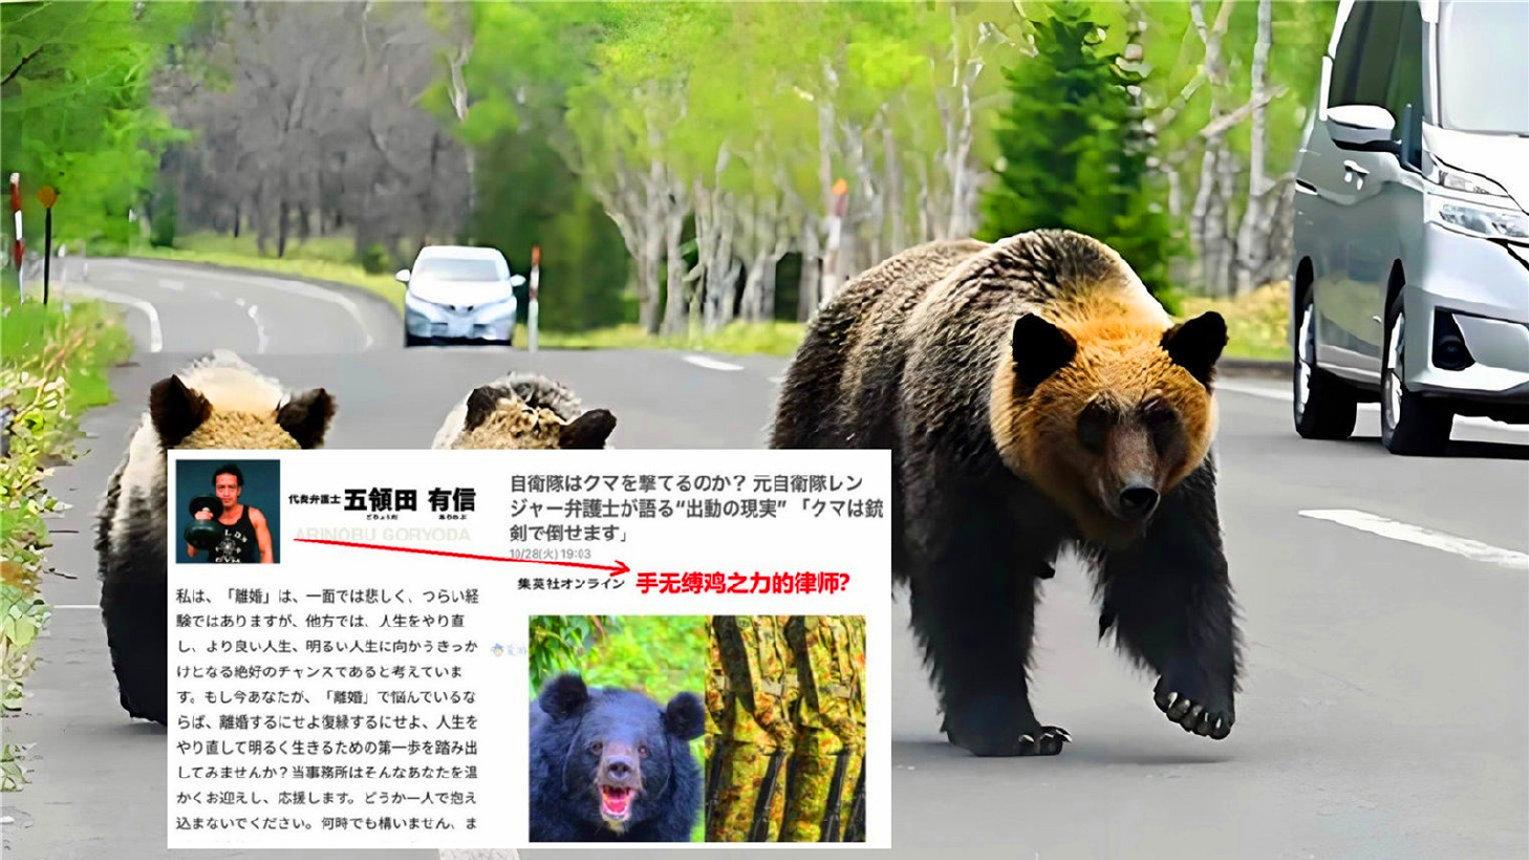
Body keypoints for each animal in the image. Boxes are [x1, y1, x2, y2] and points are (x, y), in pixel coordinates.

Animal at [771, 229, 1239, 757]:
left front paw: (1196, 703)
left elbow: (1170, 569)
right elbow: (975, 583)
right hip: (837, 424)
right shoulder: (963, 458)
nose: (1135, 493)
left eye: (1161, 416)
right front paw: (1018, 729)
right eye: (1094, 418)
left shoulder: (1176, 486)